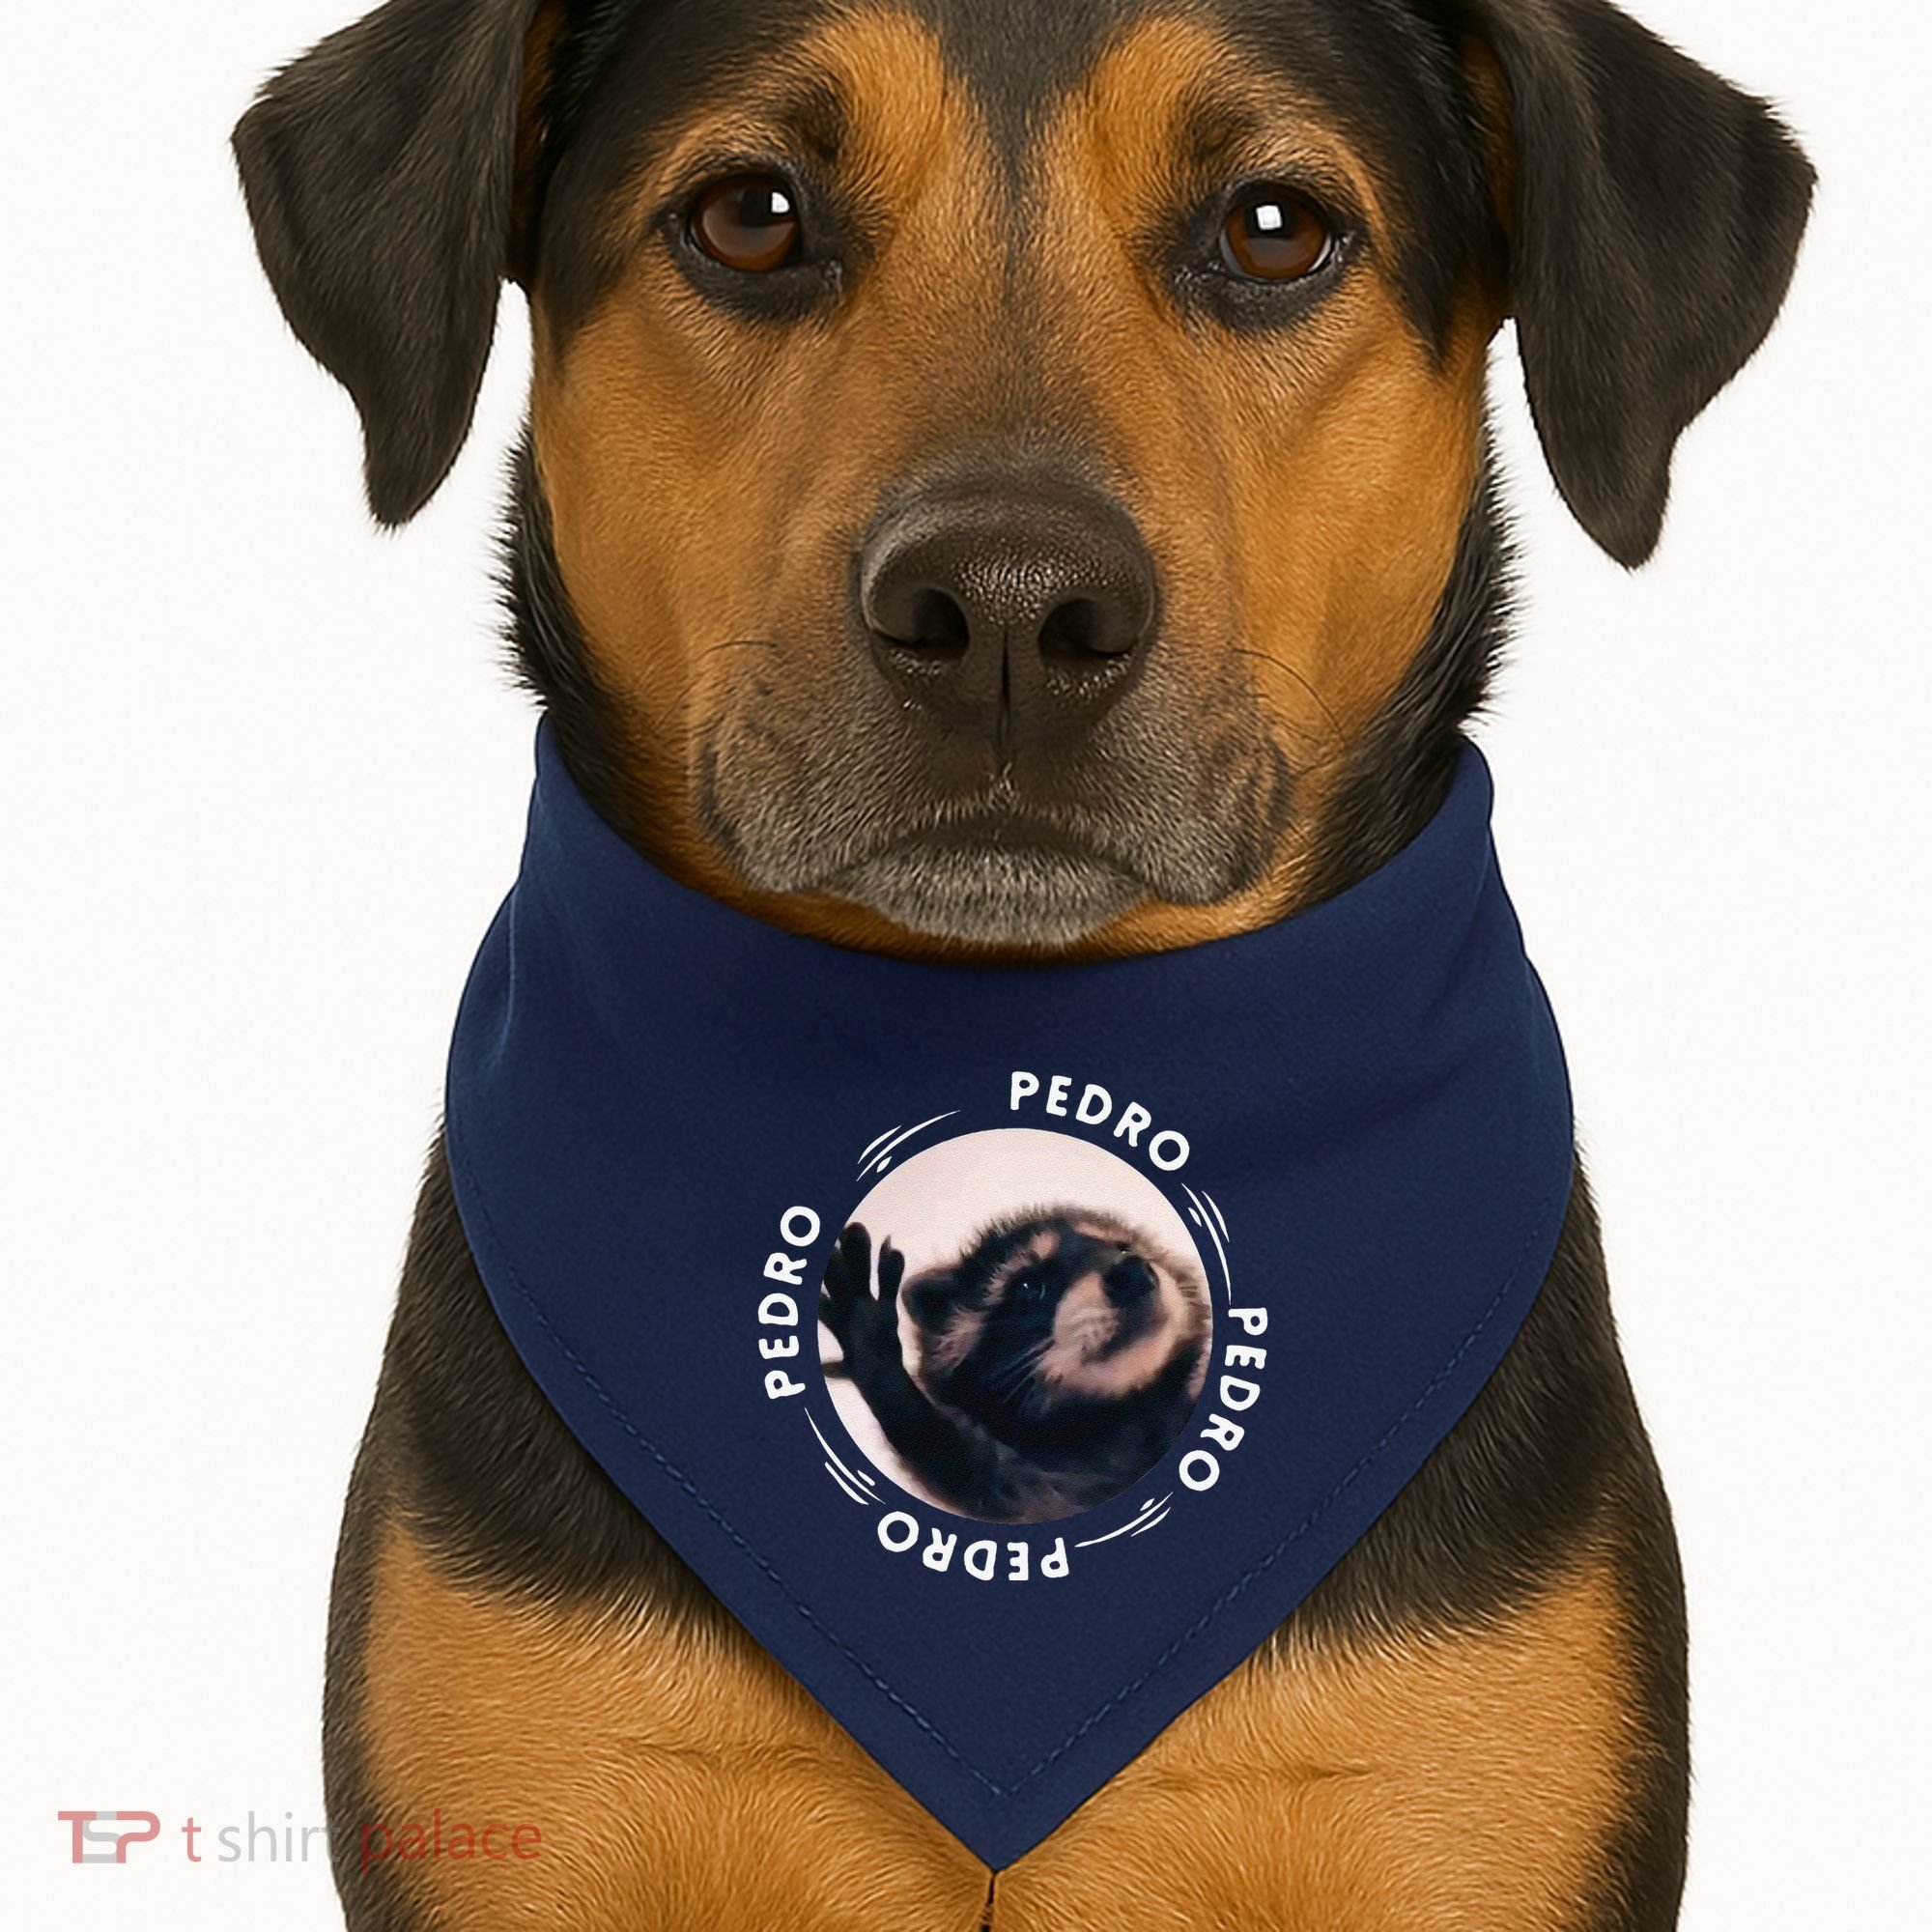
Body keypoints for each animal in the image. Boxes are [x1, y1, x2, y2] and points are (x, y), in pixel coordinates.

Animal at [819, 1210, 1211, 1523]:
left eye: (1125, 1248)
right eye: (1029, 1286)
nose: (1133, 1271)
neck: (1121, 1414)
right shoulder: (1036, 1493)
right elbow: (958, 1463)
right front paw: (876, 1354)